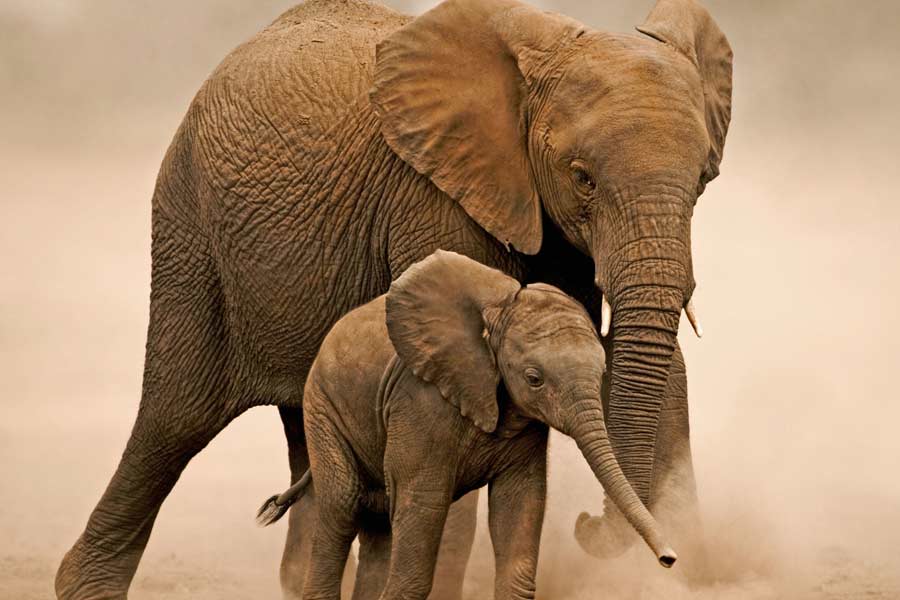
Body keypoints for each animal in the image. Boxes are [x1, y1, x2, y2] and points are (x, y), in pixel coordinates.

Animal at [256, 250, 677, 600]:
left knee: (377, 521)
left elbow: (520, 503)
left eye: (602, 372)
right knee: (342, 507)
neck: (497, 317)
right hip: (322, 406)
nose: (669, 559)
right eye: (534, 379)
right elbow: (423, 508)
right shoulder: (421, 402)